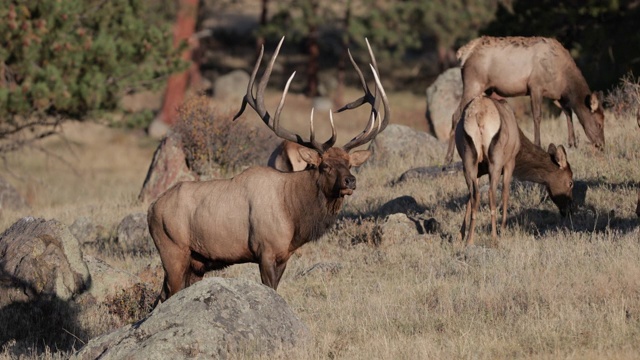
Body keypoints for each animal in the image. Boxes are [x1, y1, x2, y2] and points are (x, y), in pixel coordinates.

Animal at [150, 36, 390, 302]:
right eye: (325, 165)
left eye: (348, 163)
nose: (350, 181)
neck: (294, 216)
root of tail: (151, 209)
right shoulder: (264, 250)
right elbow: (270, 289)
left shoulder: (284, 255)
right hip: (172, 250)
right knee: (167, 293)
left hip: (197, 261)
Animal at [444, 35, 604, 165]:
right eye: (599, 124)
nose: (602, 145)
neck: (564, 81)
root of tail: (463, 53)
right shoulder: (536, 86)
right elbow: (538, 116)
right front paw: (538, 144)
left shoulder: (556, 95)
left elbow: (568, 112)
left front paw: (572, 143)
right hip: (473, 84)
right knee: (456, 115)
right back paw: (448, 158)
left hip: (485, 89)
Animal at [456, 95, 576, 246]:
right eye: (570, 182)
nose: (570, 210)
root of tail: (479, 115)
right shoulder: (510, 162)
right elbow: (505, 193)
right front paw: (503, 230)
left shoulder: (478, 171)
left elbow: (468, 199)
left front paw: (461, 235)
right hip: (496, 159)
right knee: (491, 192)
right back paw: (494, 237)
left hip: (467, 159)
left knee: (475, 194)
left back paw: (470, 240)